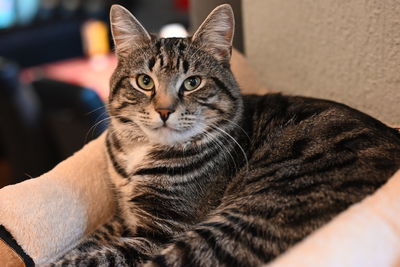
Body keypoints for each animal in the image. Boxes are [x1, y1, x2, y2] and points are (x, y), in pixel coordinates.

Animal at [47, 4, 400, 267]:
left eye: (192, 82)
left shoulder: (162, 231)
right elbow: (93, 239)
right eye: (145, 81)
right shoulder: (124, 215)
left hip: (238, 225)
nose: (164, 110)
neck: (140, 152)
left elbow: (102, 255)